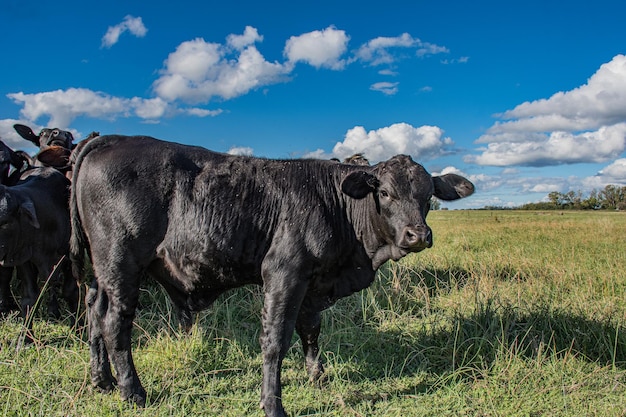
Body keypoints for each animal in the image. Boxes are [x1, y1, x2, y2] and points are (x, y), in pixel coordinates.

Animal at [69, 135, 472, 414]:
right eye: (385, 193)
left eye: (428, 195)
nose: (418, 235)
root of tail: (112, 138)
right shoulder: (284, 273)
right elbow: (276, 341)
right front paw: (273, 404)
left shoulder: (312, 281)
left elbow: (310, 330)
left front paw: (317, 376)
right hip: (122, 264)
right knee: (115, 323)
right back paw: (132, 391)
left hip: (101, 272)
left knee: (93, 311)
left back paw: (102, 381)